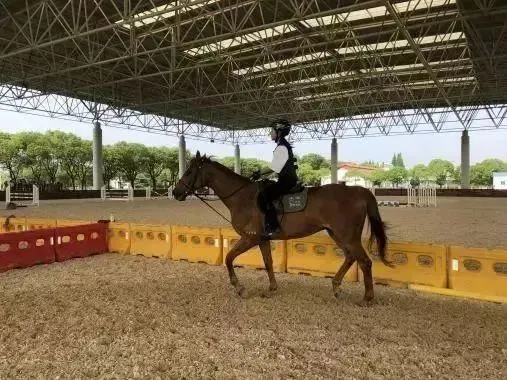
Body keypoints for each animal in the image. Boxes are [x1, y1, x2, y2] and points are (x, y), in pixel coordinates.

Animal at [173, 151, 390, 302]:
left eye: (190, 171)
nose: (176, 192)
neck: (242, 197)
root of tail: (358, 191)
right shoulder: (262, 239)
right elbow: (268, 262)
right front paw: (272, 288)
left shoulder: (250, 238)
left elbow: (228, 258)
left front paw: (239, 287)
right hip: (337, 234)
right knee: (352, 257)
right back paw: (336, 286)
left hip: (347, 236)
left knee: (365, 262)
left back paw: (367, 298)